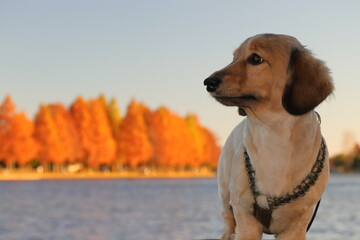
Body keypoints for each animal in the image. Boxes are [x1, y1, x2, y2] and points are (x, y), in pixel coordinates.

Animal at [204, 34, 334, 240]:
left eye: (256, 58)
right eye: (234, 58)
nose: (208, 82)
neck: (273, 134)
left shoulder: (297, 225)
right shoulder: (245, 216)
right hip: (225, 194)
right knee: (227, 221)